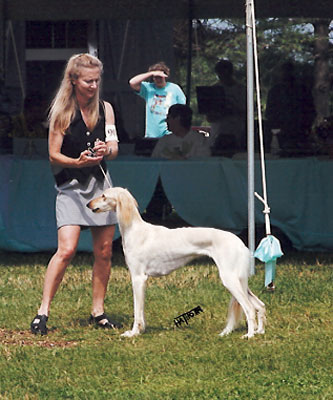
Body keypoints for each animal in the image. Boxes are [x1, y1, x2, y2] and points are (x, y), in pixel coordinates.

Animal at [87, 187, 266, 338]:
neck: (136, 230)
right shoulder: (142, 280)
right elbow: (141, 311)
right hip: (238, 279)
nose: (88, 204)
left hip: (230, 279)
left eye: (103, 195)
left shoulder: (138, 278)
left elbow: (137, 311)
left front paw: (133, 333)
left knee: (250, 308)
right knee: (260, 305)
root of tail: (240, 243)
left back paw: (249, 335)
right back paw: (260, 331)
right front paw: (141, 330)